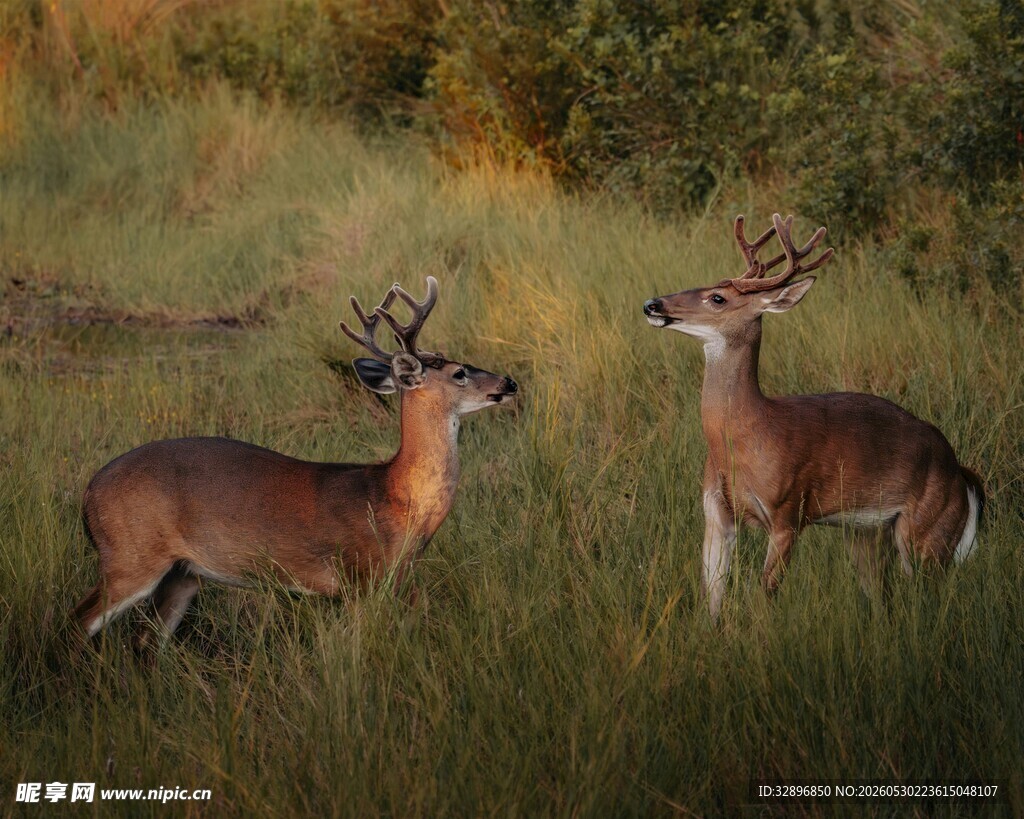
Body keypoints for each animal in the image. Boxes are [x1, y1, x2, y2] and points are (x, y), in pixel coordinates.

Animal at [74, 276, 518, 646]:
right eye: (459, 372)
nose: (509, 382)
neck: (394, 497)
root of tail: (90, 492)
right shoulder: (357, 575)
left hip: (182, 574)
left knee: (147, 642)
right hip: (130, 555)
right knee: (78, 620)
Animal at [643, 213, 984, 621]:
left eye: (718, 298)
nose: (652, 303)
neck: (746, 435)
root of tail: (962, 475)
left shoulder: (789, 512)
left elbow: (764, 599)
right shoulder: (716, 514)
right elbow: (712, 600)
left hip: (930, 532)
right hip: (866, 533)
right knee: (882, 598)